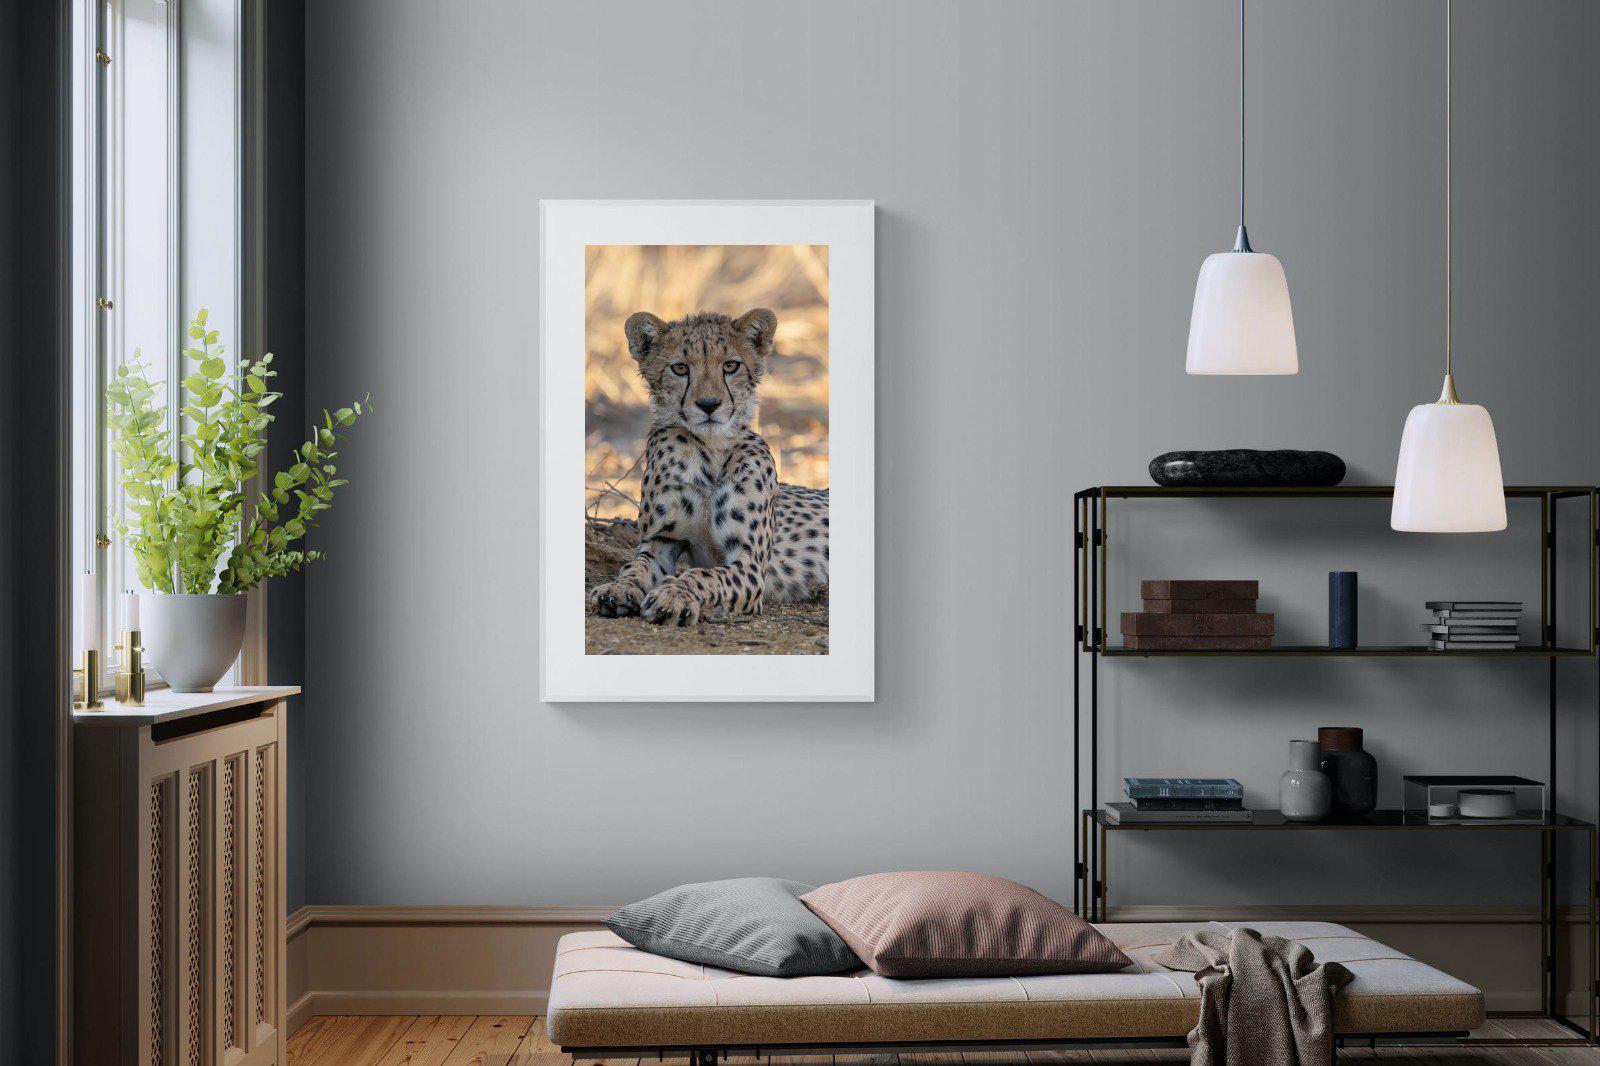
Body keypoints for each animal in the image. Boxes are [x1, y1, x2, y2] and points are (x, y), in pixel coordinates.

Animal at [588, 307, 829, 626]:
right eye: (680, 368)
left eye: (730, 365)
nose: (708, 404)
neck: (711, 450)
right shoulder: (661, 542)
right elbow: (635, 566)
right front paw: (617, 588)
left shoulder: (749, 563)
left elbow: (703, 575)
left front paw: (673, 596)